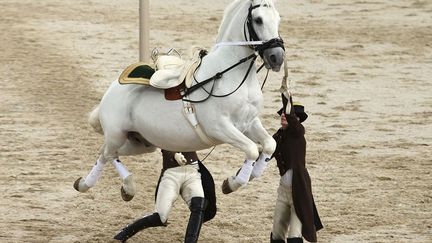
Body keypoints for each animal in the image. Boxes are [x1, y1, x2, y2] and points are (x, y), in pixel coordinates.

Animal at [74, 0, 284, 201]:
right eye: (258, 19)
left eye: (278, 18)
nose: (277, 58)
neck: (228, 74)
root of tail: (111, 91)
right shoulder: (219, 127)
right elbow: (252, 149)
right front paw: (232, 183)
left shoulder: (249, 123)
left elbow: (269, 145)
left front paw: (245, 175)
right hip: (117, 135)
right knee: (108, 153)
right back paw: (116, 186)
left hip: (142, 143)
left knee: (106, 152)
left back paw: (91, 185)